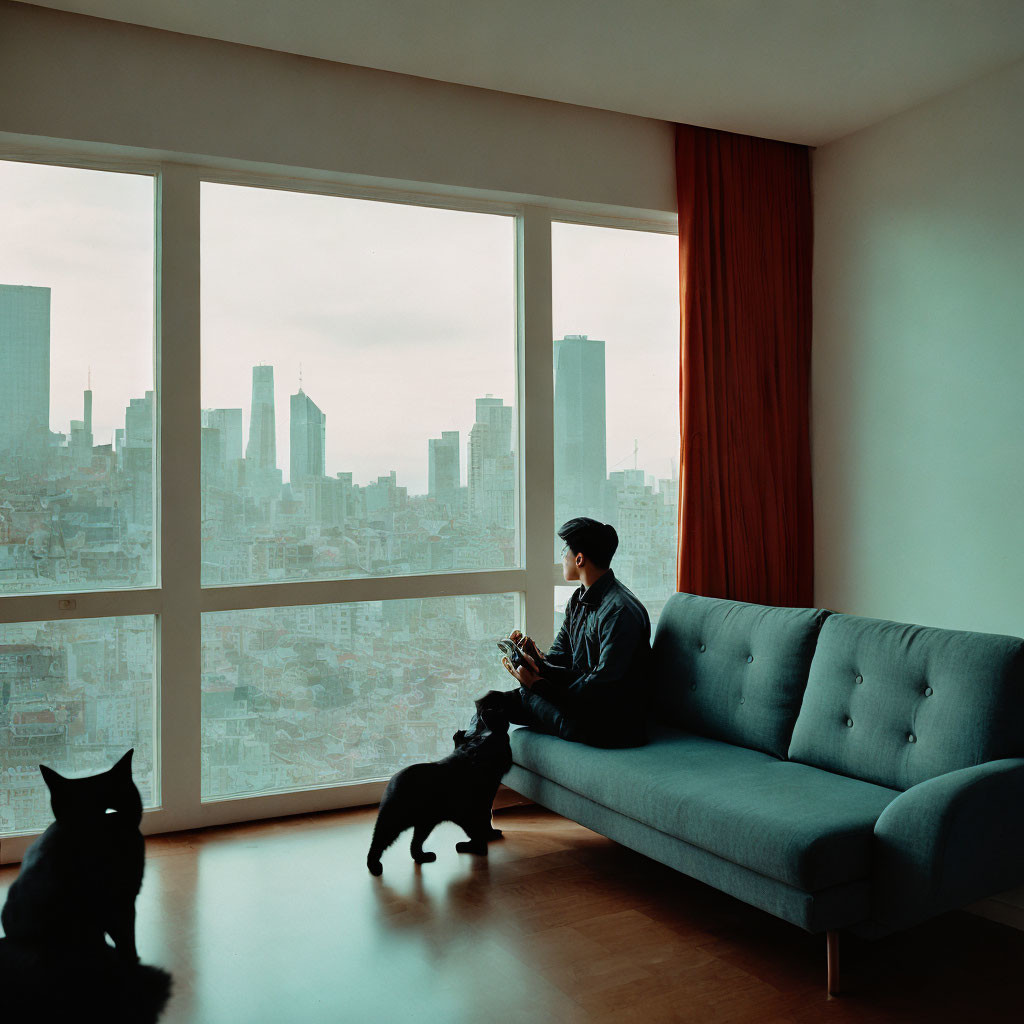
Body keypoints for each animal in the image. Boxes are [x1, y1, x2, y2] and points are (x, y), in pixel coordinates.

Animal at [366, 708, 512, 876]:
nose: (483, 712)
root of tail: (393, 780)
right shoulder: (471, 812)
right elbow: (479, 832)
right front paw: (481, 843)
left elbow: (484, 826)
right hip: (395, 820)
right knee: (378, 842)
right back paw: (374, 866)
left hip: (425, 822)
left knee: (414, 845)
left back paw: (424, 856)